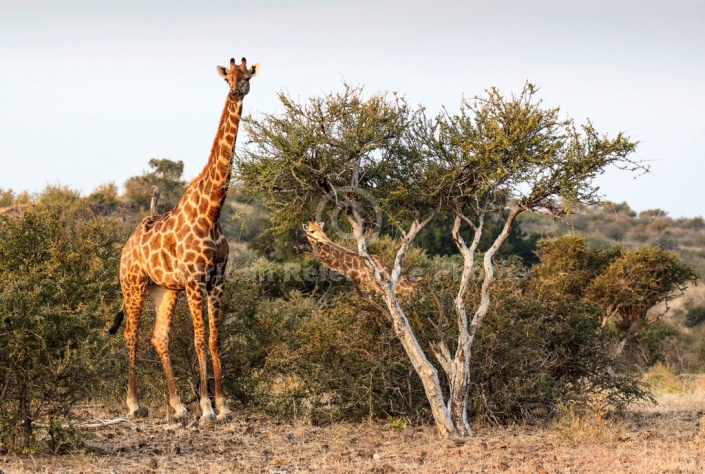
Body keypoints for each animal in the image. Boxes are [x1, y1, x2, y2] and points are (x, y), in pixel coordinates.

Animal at [107, 57, 256, 424]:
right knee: (132, 335)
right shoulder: (194, 280)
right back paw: (134, 405)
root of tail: (127, 246)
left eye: (248, 76)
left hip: (164, 289)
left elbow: (216, 340)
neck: (212, 211)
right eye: (227, 77)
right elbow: (200, 340)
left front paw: (223, 406)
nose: (237, 90)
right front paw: (206, 408)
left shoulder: (217, 278)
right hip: (133, 284)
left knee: (158, 337)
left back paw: (176, 407)